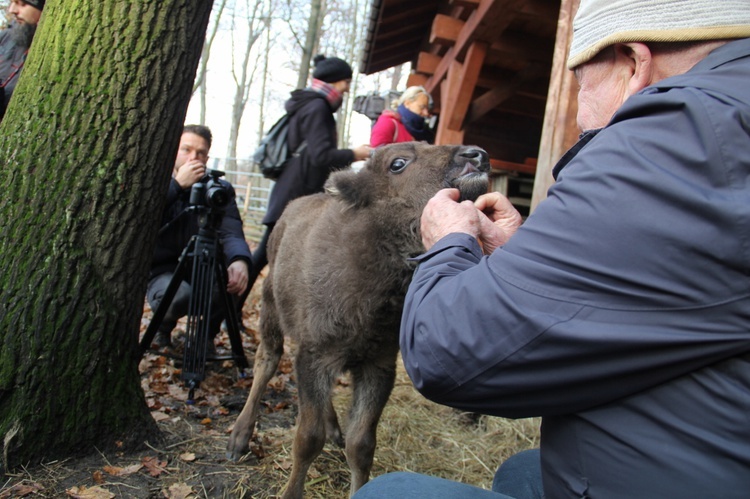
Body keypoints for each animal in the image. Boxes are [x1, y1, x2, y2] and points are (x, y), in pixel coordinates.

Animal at [226, 143, 490, 498]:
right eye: (398, 163)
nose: (475, 155)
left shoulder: (376, 365)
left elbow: (361, 444)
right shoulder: (315, 356)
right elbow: (307, 439)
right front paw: (291, 491)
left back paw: (333, 428)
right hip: (270, 308)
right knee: (266, 362)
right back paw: (239, 438)